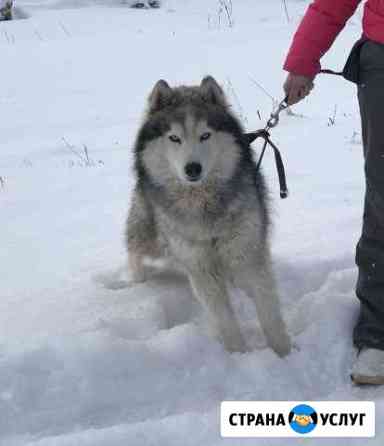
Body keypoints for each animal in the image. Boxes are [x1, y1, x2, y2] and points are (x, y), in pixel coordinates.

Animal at [126, 76, 292, 356]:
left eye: (205, 135)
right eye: (174, 138)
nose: (192, 168)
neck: (203, 206)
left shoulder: (248, 254)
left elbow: (268, 312)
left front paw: (284, 354)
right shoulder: (200, 267)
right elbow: (224, 319)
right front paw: (239, 355)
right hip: (151, 236)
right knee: (134, 250)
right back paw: (136, 283)